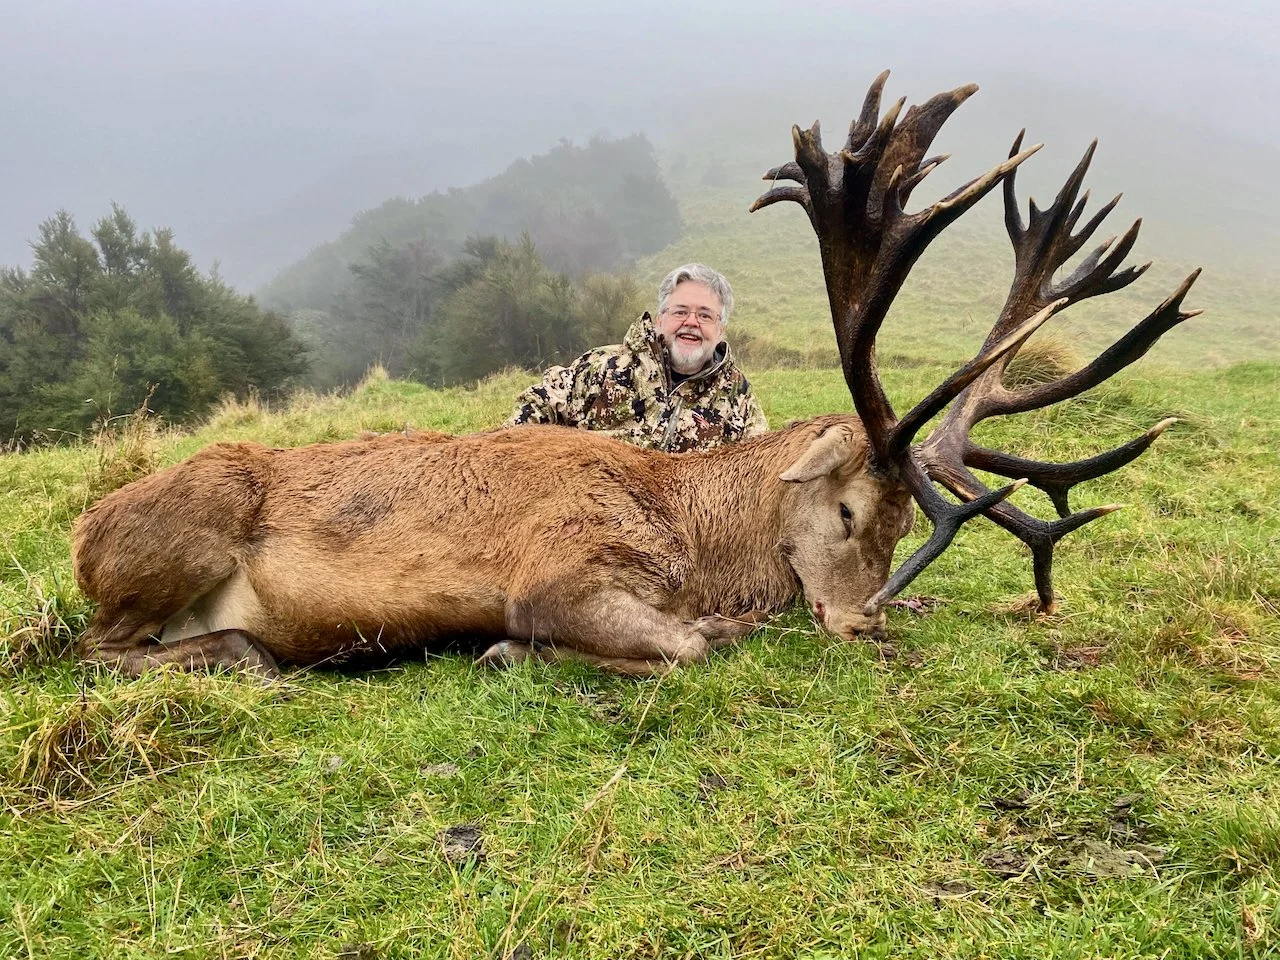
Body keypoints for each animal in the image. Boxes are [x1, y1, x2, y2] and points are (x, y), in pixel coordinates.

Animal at [71, 71, 1201, 679]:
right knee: (95, 648)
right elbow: (686, 644)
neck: (689, 536)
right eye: (847, 514)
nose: (861, 619)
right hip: (177, 539)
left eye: (895, 535)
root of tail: (82, 534)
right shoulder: (558, 569)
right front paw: (514, 650)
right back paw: (251, 655)